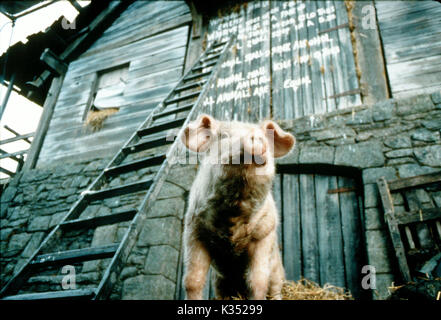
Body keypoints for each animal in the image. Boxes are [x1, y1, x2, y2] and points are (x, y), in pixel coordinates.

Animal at [179, 114, 296, 298]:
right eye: (224, 136)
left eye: (264, 139)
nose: (255, 137)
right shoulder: (194, 230)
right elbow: (192, 281)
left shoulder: (264, 233)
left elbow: (258, 281)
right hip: (220, 281)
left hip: (278, 270)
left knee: (275, 289)